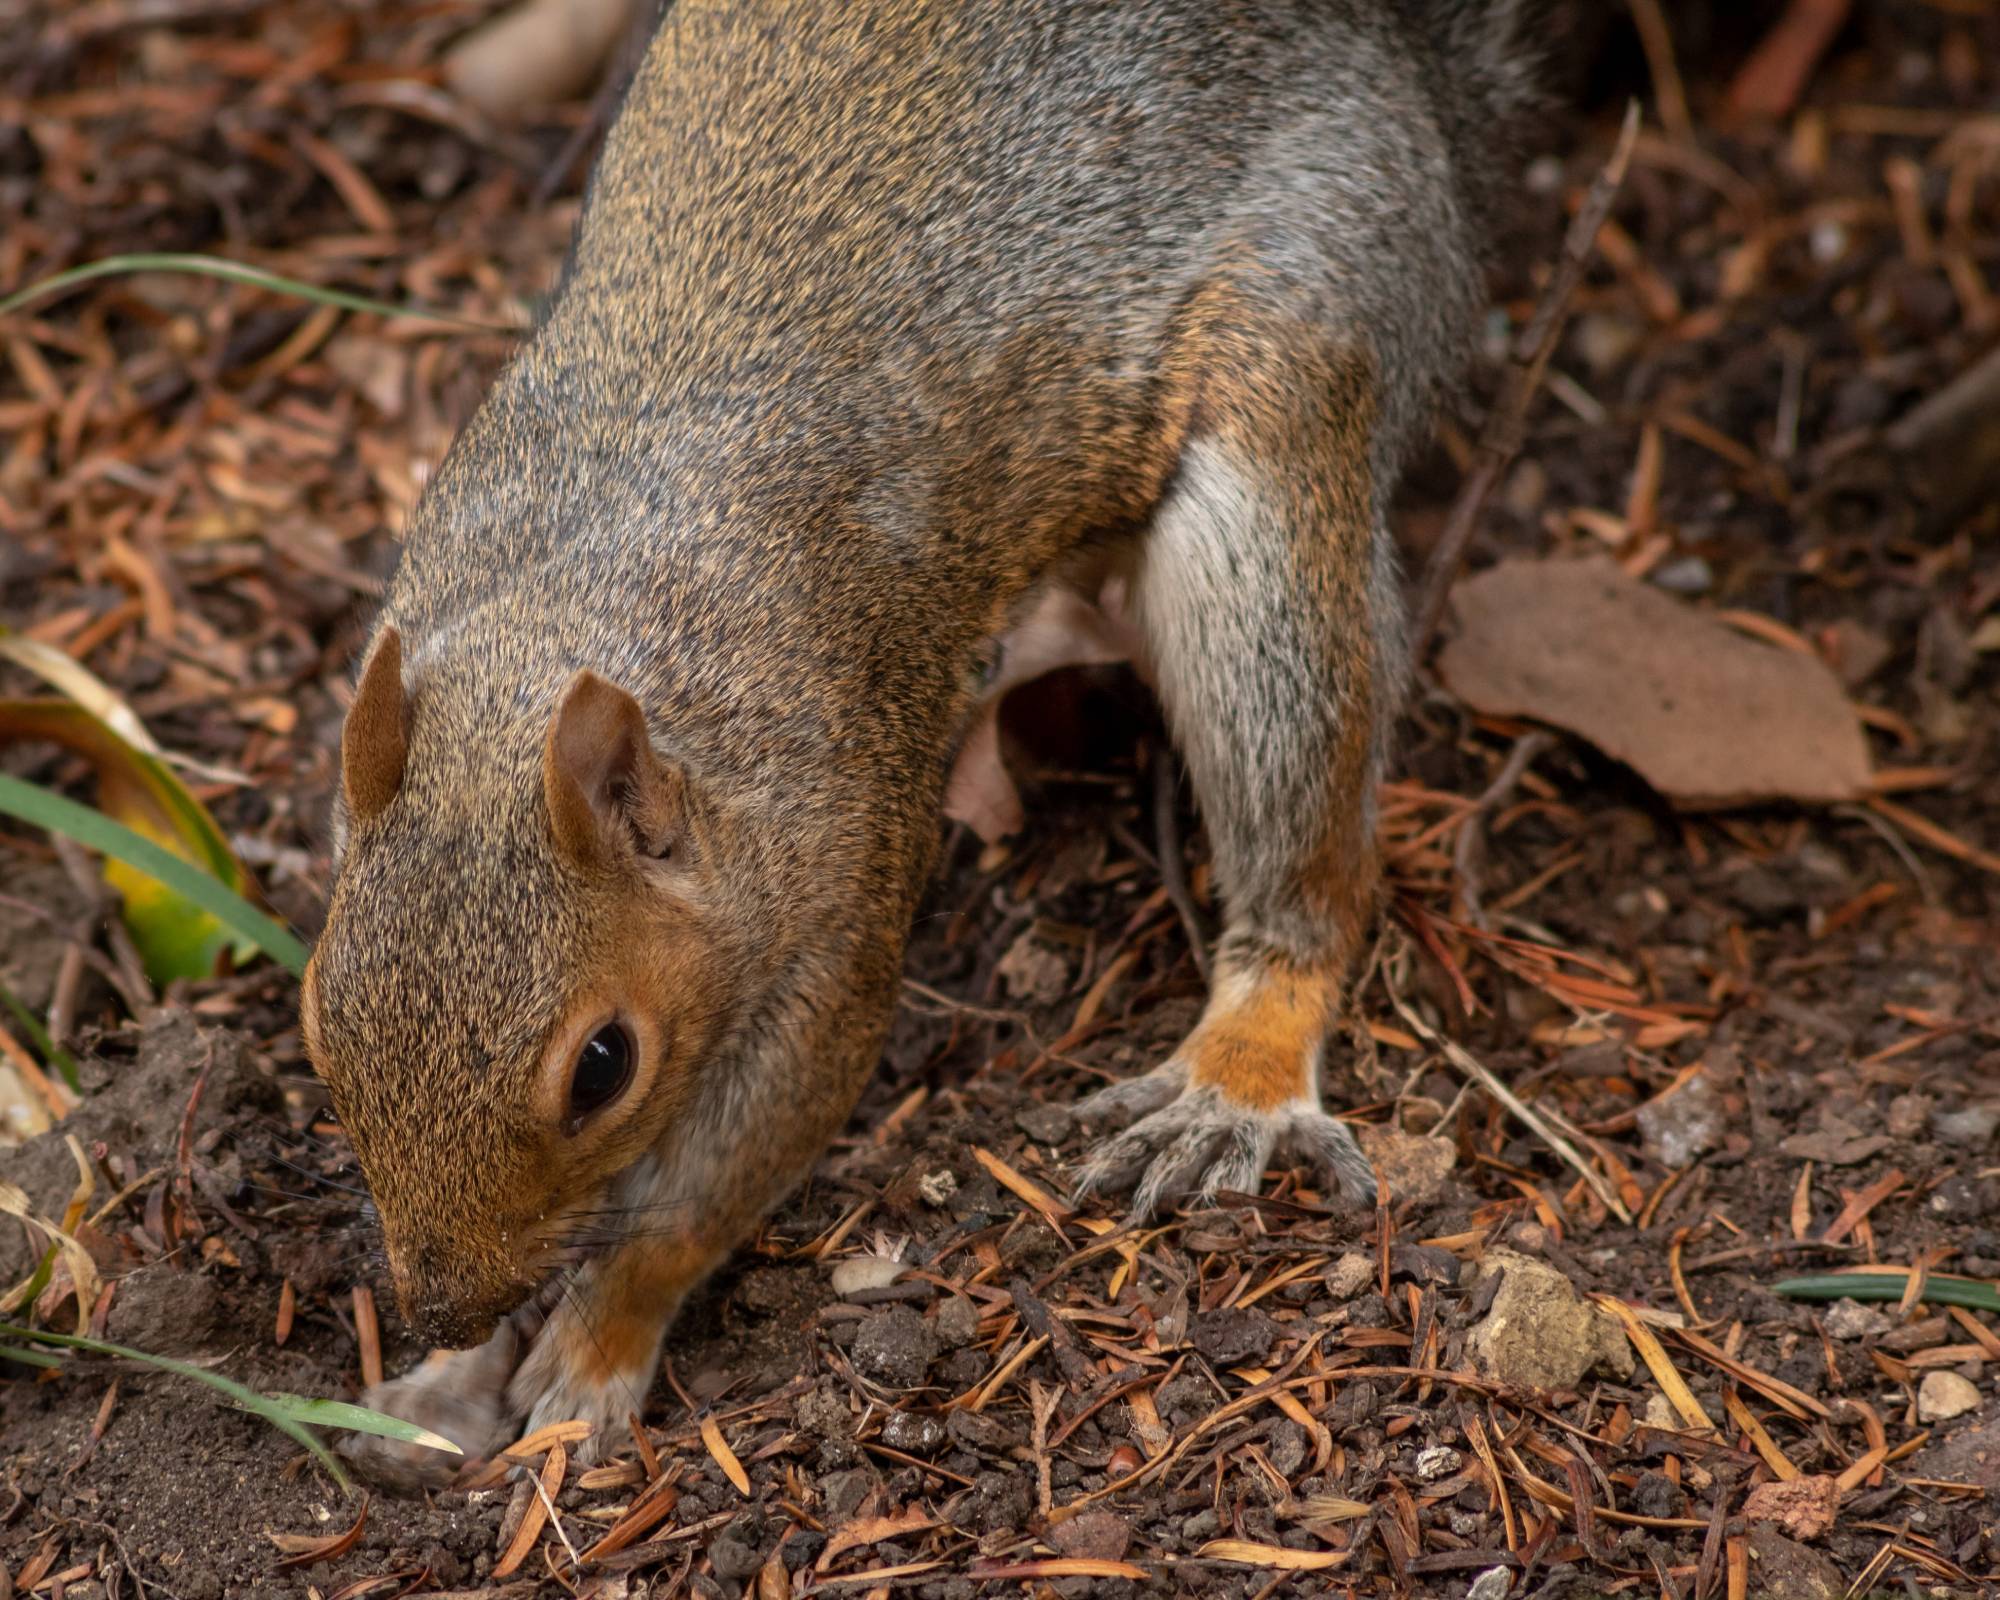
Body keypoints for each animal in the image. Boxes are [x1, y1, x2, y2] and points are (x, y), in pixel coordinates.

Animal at [302, 0, 1544, 1487]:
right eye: (317, 1015)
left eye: (604, 1066)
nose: (442, 1299)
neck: (573, 623)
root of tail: (1409, 81)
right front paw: (446, 1375)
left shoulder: (840, 892)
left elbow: (713, 1182)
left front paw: (592, 1348)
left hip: (1302, 352)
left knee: (1306, 833)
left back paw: (1234, 1072)